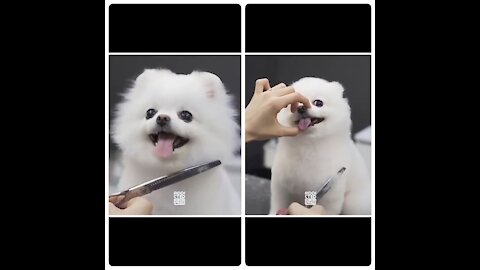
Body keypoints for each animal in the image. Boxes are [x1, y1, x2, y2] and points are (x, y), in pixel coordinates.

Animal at [270, 77, 372, 214]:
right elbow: (278, 202)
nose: (301, 108)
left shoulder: (331, 193)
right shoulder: (281, 185)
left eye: (318, 103)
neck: (307, 145)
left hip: (353, 203)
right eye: (294, 105)